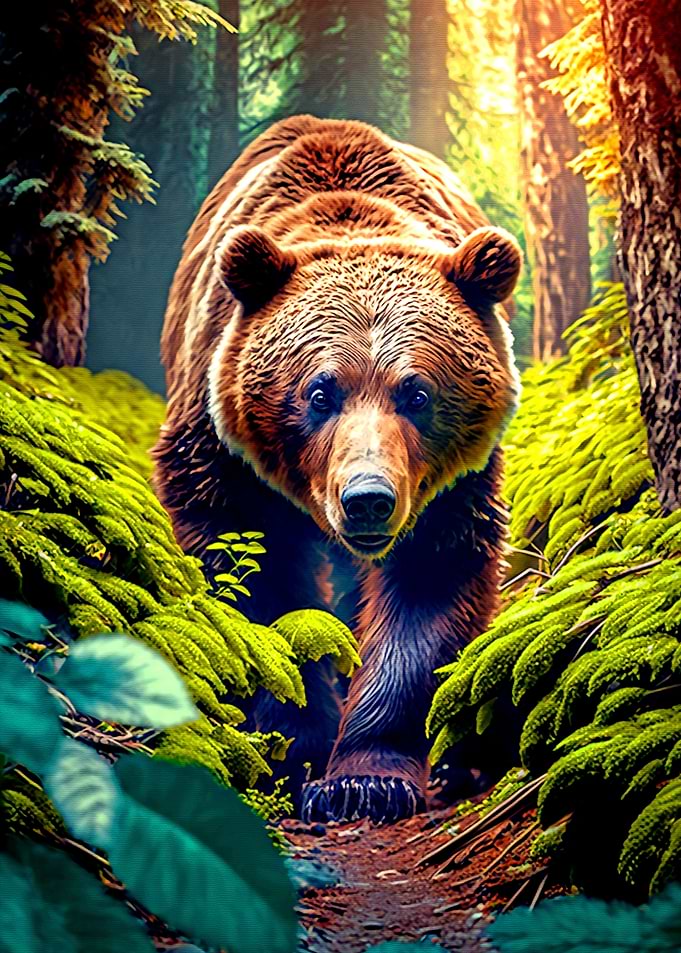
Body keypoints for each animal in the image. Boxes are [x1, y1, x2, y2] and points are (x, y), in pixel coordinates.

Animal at [154, 114, 521, 824]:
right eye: (320, 393)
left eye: (418, 393)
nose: (368, 498)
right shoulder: (222, 455)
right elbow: (254, 586)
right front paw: (295, 753)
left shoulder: (450, 487)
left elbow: (428, 589)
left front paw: (365, 780)